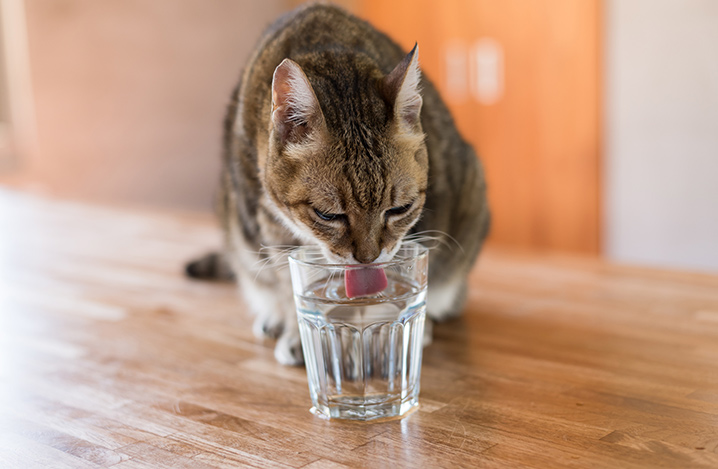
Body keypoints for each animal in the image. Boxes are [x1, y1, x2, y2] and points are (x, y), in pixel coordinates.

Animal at [186, 1, 492, 364]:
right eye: (328, 215)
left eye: (400, 209)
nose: (368, 258)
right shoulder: (269, 226)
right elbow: (290, 285)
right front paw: (303, 335)